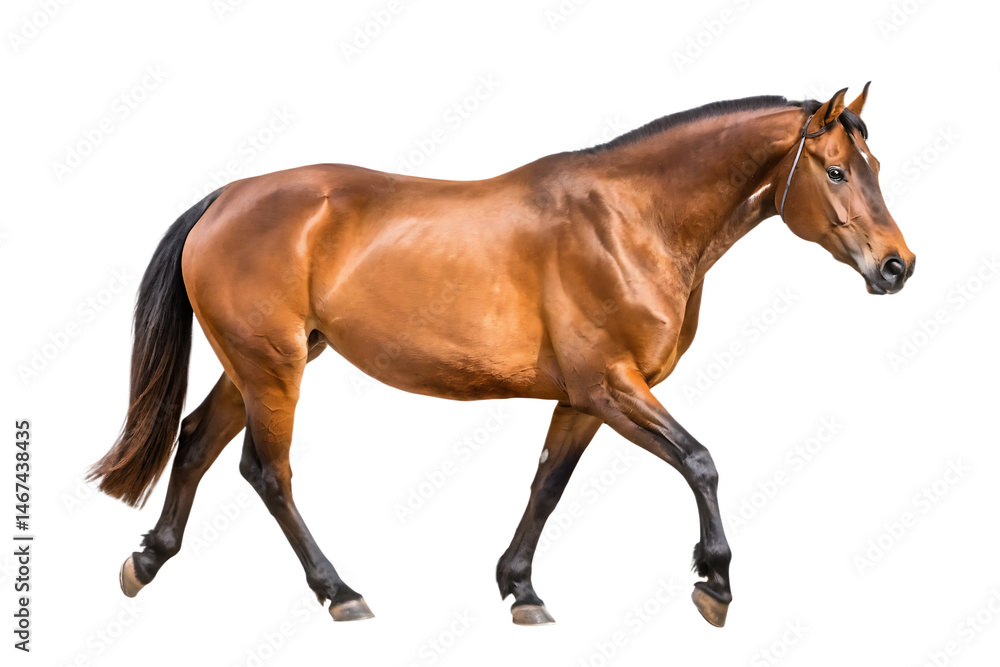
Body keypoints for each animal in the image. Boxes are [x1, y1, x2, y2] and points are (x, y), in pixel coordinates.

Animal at [90, 84, 915, 628]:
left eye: (875, 167)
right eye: (837, 169)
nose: (897, 266)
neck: (629, 221)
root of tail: (224, 199)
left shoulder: (585, 397)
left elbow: (548, 484)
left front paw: (521, 587)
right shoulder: (612, 385)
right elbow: (700, 460)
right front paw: (714, 581)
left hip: (258, 363)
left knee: (196, 441)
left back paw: (148, 559)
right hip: (274, 367)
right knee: (268, 471)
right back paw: (339, 590)